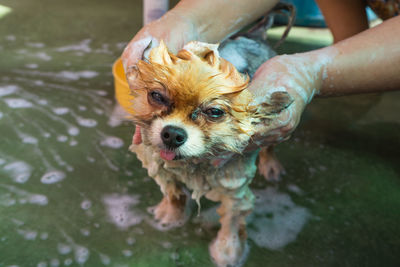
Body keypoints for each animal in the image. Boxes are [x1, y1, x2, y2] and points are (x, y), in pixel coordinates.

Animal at [128, 40, 294, 267]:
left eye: (215, 112)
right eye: (157, 96)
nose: (172, 134)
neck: (193, 164)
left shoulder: (234, 187)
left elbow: (232, 220)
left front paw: (227, 251)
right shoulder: (162, 169)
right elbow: (173, 193)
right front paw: (171, 215)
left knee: (270, 144)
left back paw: (271, 165)